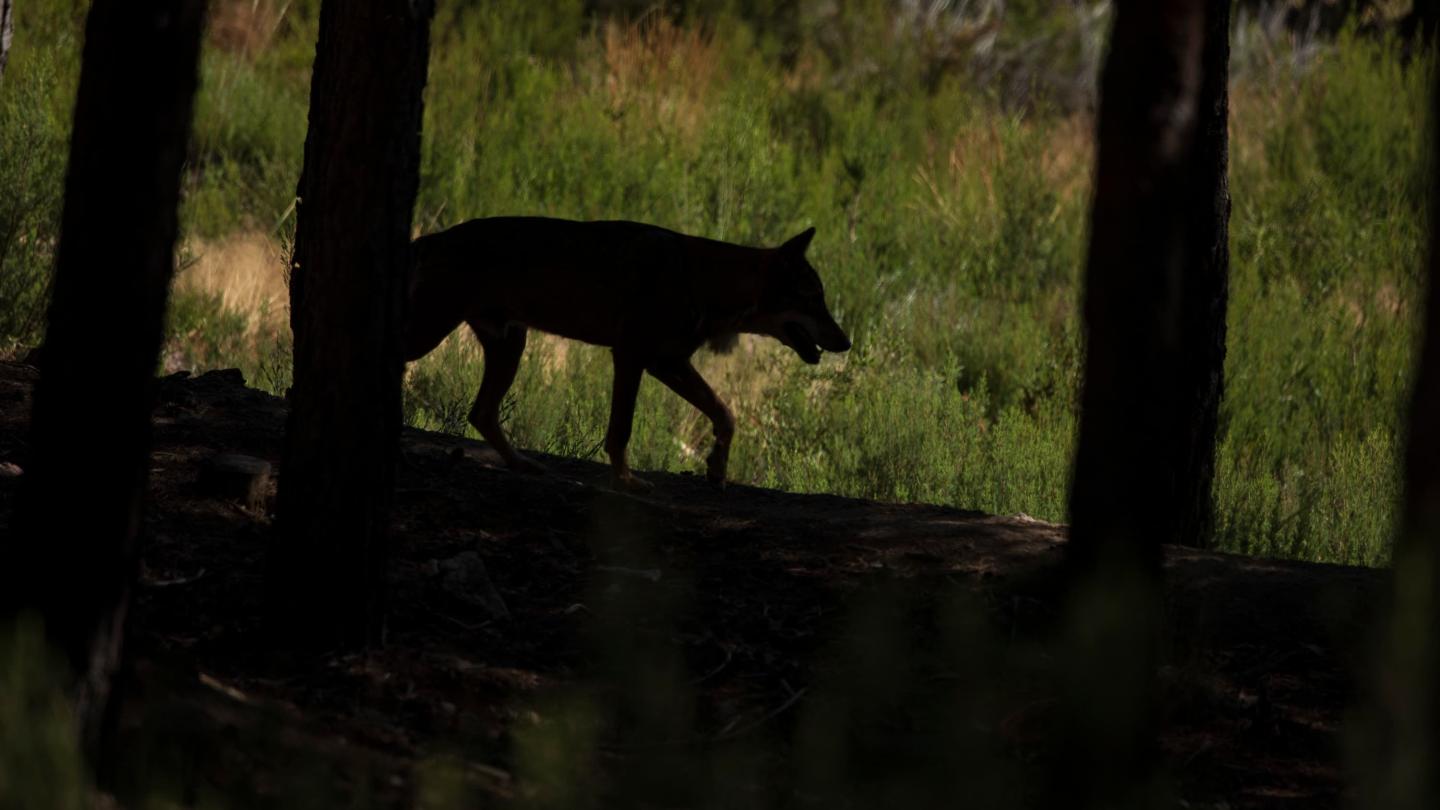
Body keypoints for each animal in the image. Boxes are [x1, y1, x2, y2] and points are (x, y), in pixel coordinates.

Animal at [404, 216, 851, 490]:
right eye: (814, 299)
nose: (846, 342)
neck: (703, 279)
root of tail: (431, 238)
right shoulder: (633, 357)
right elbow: (621, 429)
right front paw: (627, 482)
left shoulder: (667, 363)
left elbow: (726, 414)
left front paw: (716, 468)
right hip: (433, 335)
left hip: (511, 345)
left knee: (480, 412)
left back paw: (522, 464)